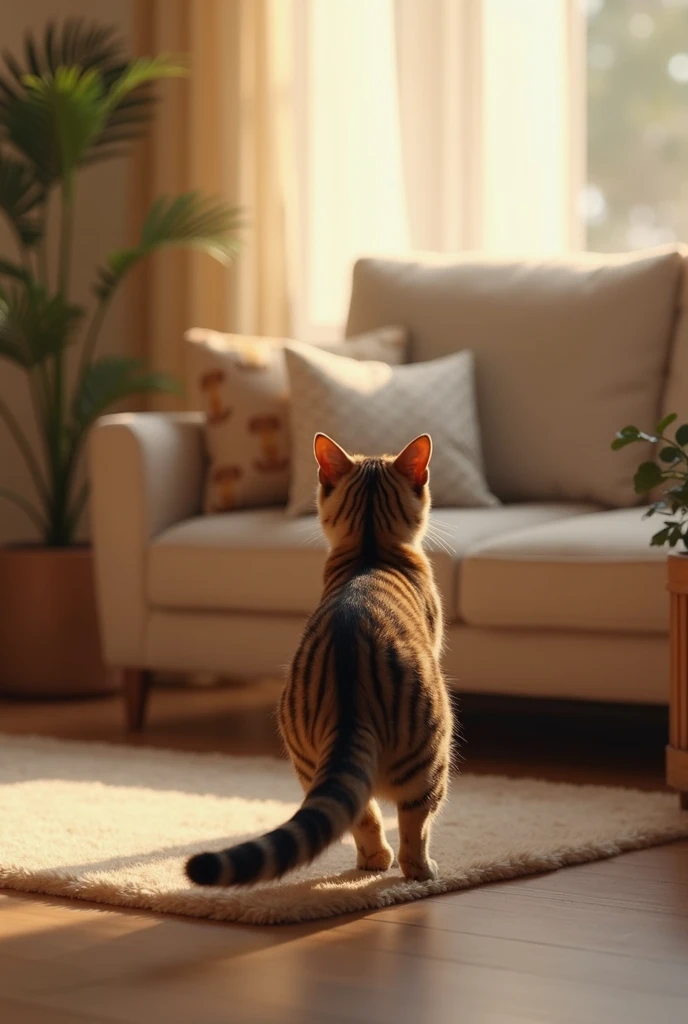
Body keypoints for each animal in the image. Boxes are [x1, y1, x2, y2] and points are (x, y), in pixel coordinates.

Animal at [186, 432, 450, 888]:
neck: (370, 547)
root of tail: (351, 696)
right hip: (433, 757)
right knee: (413, 827)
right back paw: (421, 871)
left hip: (307, 761)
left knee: (362, 815)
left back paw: (372, 861)